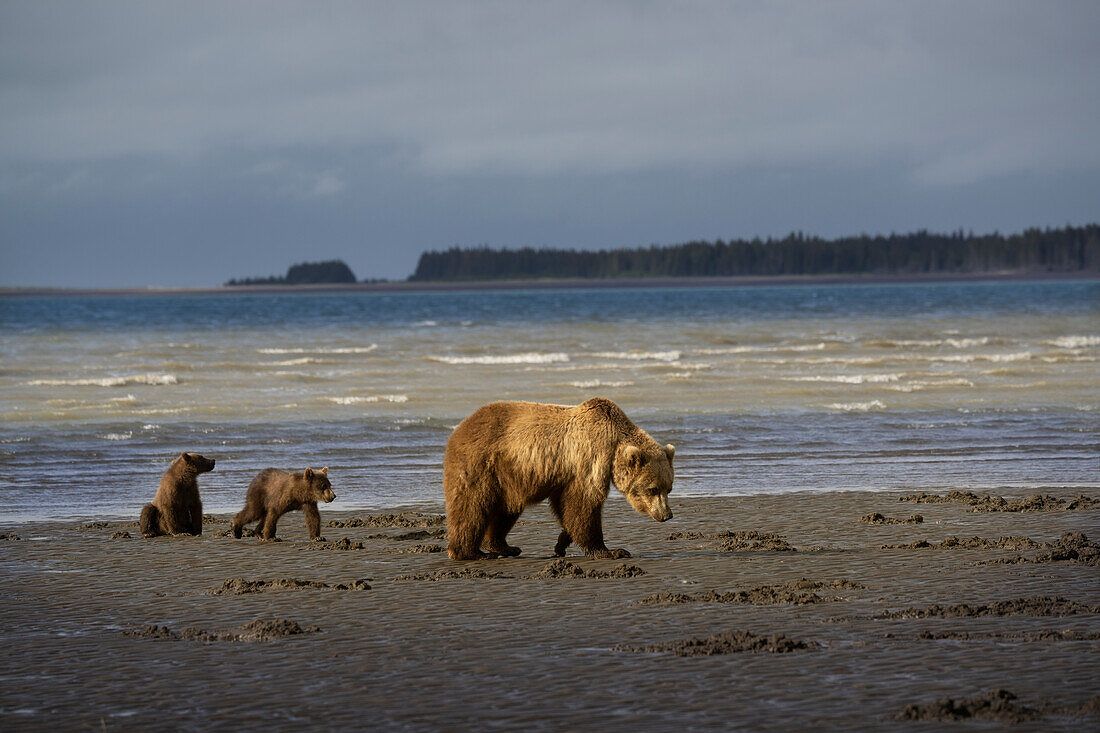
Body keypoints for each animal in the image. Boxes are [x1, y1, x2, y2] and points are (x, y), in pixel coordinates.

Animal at [444, 396, 668, 556]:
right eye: (653, 489)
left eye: (669, 487)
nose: (667, 515)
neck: (614, 442)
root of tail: (461, 427)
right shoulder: (589, 457)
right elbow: (584, 503)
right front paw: (611, 550)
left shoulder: (566, 475)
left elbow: (568, 508)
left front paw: (561, 543)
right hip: (480, 464)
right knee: (471, 506)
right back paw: (469, 552)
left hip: (508, 477)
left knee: (507, 509)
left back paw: (503, 546)